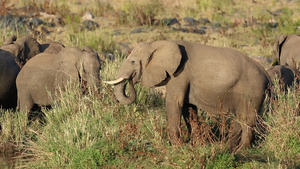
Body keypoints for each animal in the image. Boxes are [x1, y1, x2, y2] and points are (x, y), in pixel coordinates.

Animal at [104, 40, 270, 152]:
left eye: (133, 61)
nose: (131, 79)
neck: (158, 43)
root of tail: (267, 74)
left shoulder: (180, 74)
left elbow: (174, 103)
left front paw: (176, 146)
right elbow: (187, 107)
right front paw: (195, 145)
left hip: (252, 90)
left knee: (247, 119)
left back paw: (242, 149)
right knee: (239, 119)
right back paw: (229, 147)